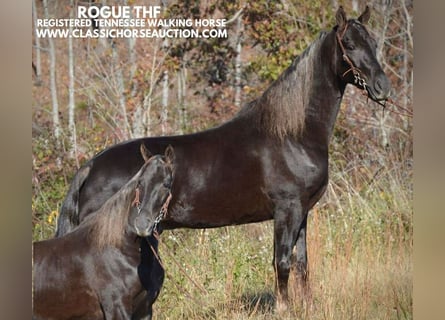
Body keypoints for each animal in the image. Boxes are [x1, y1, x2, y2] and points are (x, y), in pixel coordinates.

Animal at [31, 149, 173, 320]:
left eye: (167, 184)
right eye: (140, 183)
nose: (141, 224)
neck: (120, 250)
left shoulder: (144, 310)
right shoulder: (117, 310)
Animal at [54, 5, 388, 310]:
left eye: (373, 42)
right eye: (349, 44)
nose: (382, 87)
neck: (293, 135)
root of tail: (90, 167)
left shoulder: (303, 212)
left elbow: (302, 262)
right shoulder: (287, 209)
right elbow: (281, 262)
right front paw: (284, 308)